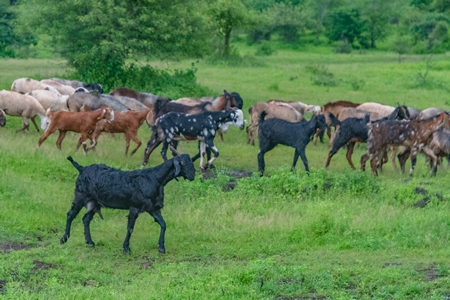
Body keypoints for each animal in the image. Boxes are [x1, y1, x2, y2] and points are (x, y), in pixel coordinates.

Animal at [59, 155, 195, 255]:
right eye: (183, 163)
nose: (193, 176)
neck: (155, 178)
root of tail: (82, 168)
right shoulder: (134, 207)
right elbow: (130, 228)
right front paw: (126, 249)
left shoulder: (153, 208)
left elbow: (163, 224)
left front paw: (161, 247)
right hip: (80, 196)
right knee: (70, 214)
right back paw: (64, 238)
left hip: (93, 202)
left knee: (86, 219)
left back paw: (90, 242)